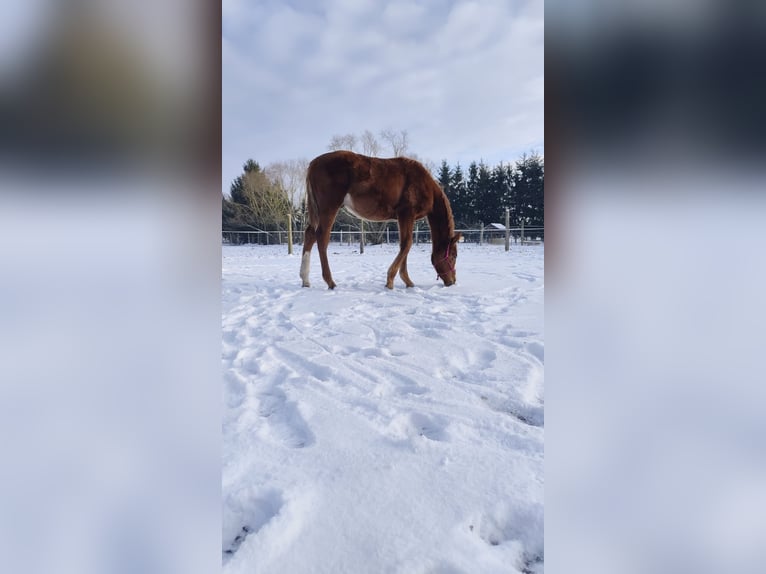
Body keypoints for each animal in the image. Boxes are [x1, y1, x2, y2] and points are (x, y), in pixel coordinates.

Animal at [300, 150, 462, 289]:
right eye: (453, 256)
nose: (452, 281)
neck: (424, 185)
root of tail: (314, 163)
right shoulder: (406, 213)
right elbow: (407, 244)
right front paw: (390, 280)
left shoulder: (404, 218)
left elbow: (404, 245)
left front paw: (407, 281)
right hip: (329, 208)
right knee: (321, 238)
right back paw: (330, 281)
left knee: (310, 235)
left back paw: (305, 279)